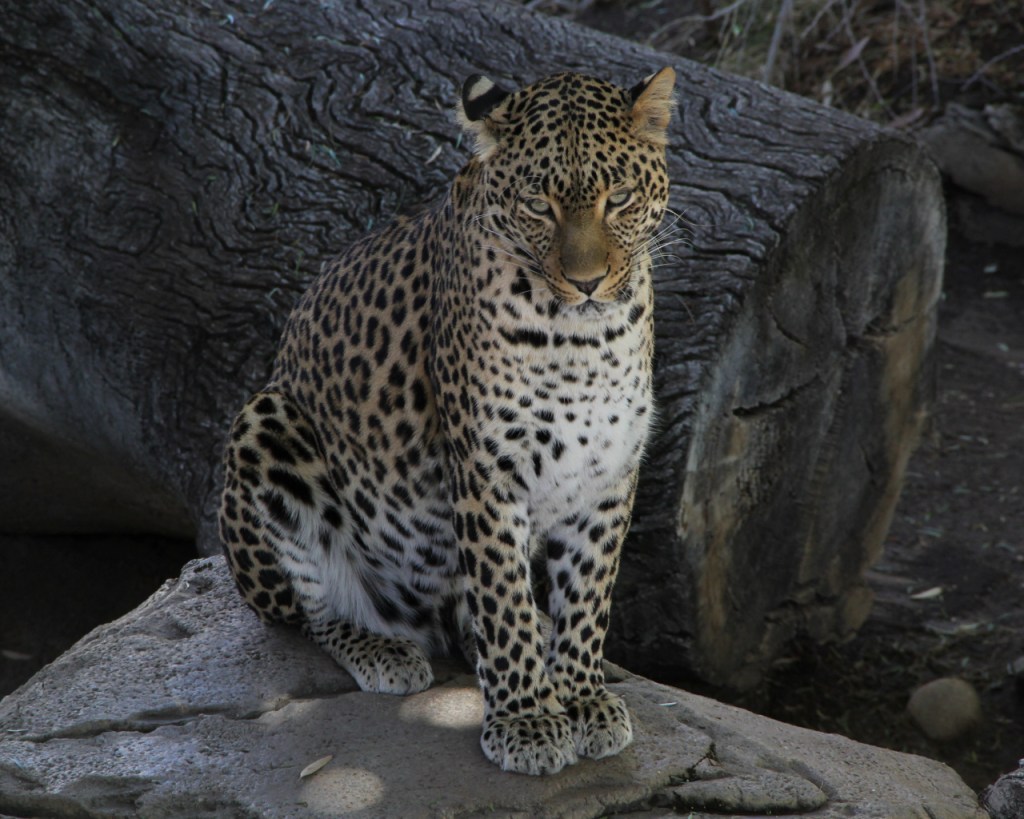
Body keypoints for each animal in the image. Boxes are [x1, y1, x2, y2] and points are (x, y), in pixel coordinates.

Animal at [218, 67, 676, 775]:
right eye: (539, 205)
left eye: (619, 198)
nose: (588, 282)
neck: (583, 339)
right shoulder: (490, 469)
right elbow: (505, 599)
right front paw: (527, 720)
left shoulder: (608, 470)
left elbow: (588, 594)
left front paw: (579, 696)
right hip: (264, 423)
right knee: (314, 612)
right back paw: (384, 650)